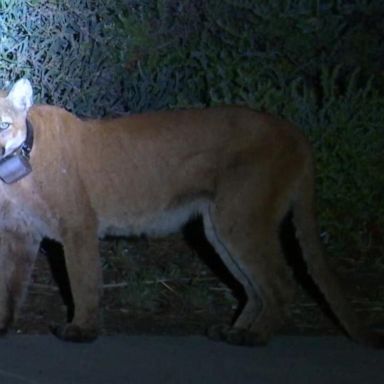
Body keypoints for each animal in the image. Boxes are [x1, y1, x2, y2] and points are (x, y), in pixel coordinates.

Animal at [0, 79, 380, 346]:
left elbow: (82, 280)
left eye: (3, 124)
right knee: (254, 287)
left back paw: (253, 337)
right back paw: (233, 331)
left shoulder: (78, 226)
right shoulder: (21, 234)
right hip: (219, 229)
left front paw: (81, 329)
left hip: (241, 218)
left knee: (281, 282)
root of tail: (294, 130)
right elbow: (11, 285)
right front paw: (4, 327)